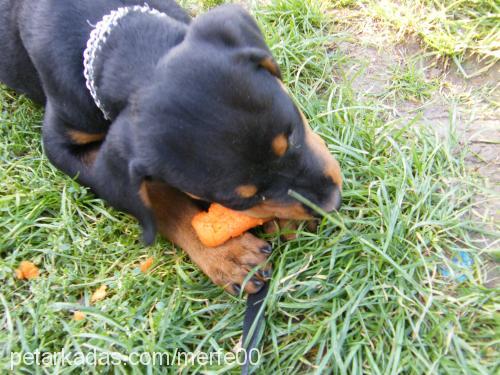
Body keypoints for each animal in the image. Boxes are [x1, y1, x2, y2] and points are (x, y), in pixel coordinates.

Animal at [0, 0, 342, 294]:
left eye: (293, 134)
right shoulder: (64, 147)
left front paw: (283, 219)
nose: (332, 201)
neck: (113, 37)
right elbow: (159, 200)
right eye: (241, 199)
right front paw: (228, 255)